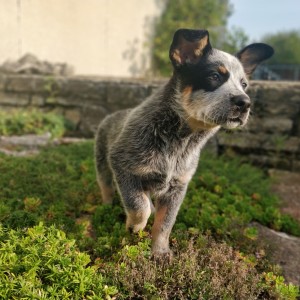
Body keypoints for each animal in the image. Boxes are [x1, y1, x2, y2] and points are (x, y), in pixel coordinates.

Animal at [94, 28, 274, 256]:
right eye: (214, 76)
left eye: (244, 84)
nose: (245, 102)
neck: (181, 142)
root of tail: (111, 115)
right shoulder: (124, 167)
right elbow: (138, 206)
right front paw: (134, 226)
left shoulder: (178, 186)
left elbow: (164, 224)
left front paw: (160, 253)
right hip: (103, 163)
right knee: (106, 186)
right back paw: (107, 206)